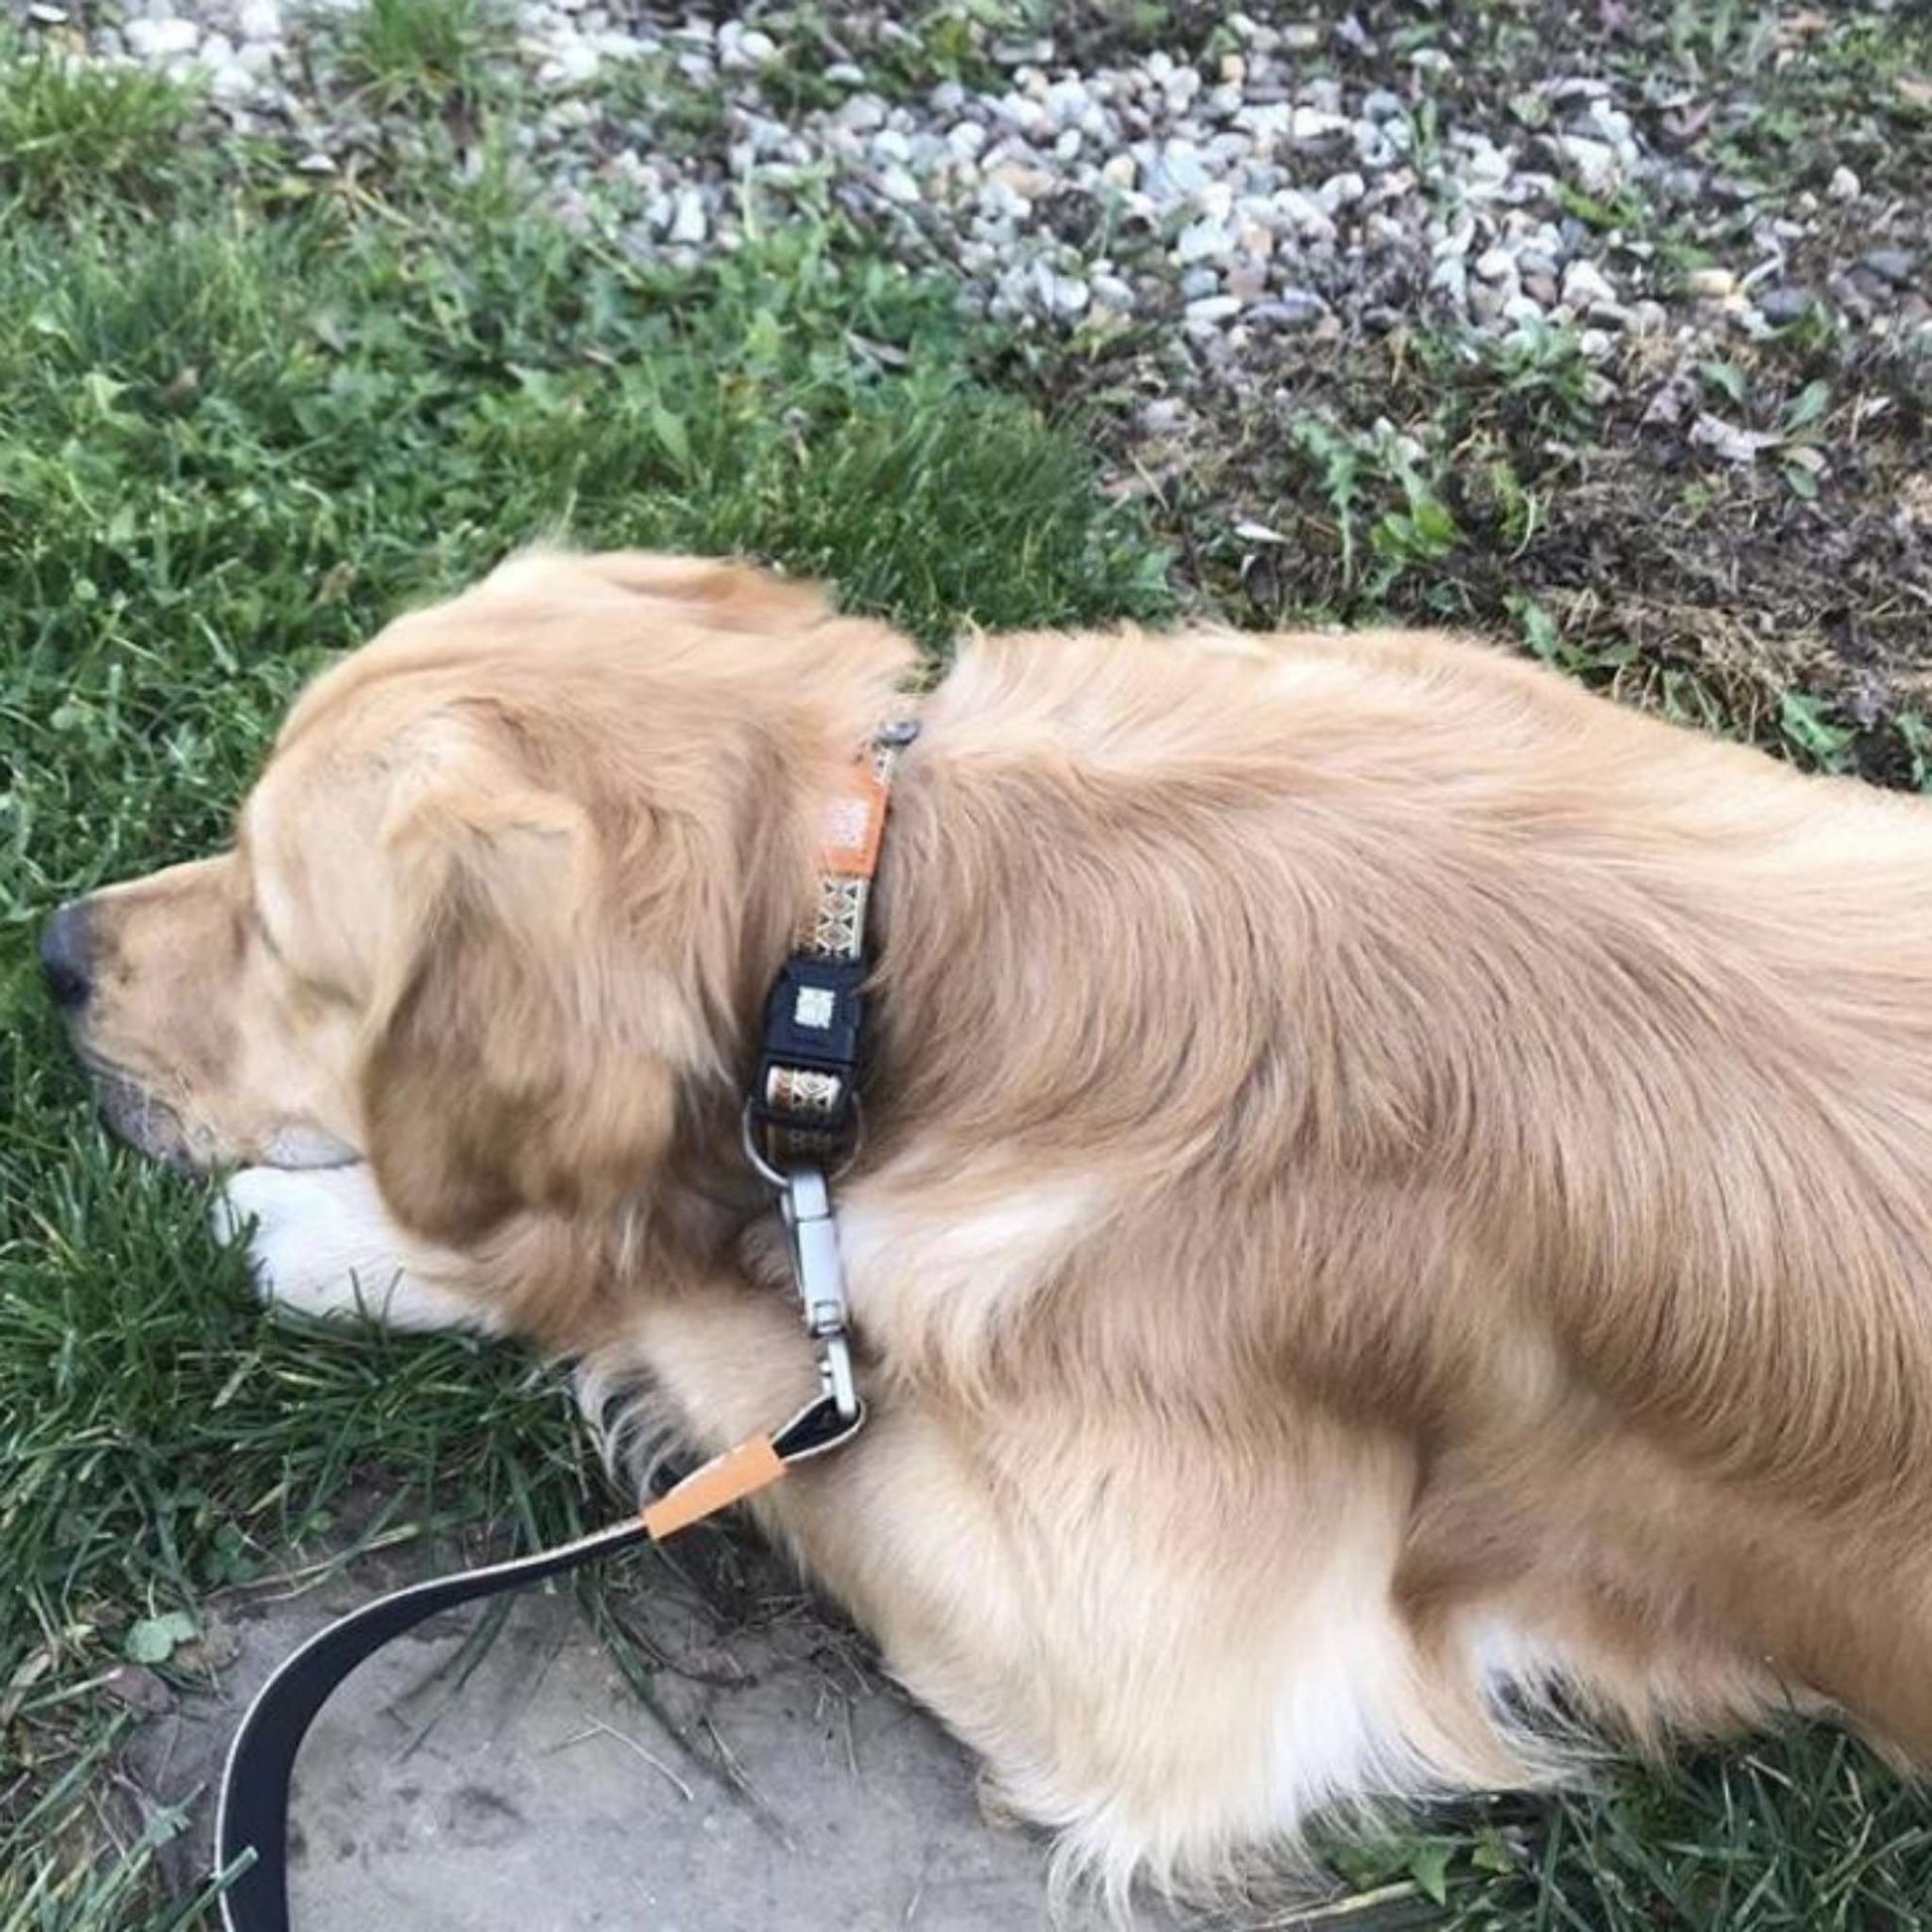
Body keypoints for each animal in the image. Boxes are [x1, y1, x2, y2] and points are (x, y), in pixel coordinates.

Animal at [45, 548, 1932, 1909]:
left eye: (279, 931)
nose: (56, 948)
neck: (877, 930)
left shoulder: (1157, 1689)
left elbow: (628, 1266)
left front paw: (349, 1227)